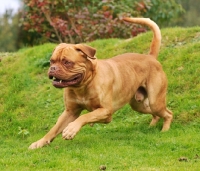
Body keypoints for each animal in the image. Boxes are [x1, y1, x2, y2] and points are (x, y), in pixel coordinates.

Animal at [28, 16, 173, 149]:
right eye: (52, 61)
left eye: (67, 62)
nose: (53, 68)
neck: (83, 85)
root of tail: (150, 57)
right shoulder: (70, 112)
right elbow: (54, 129)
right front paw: (40, 142)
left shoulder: (105, 111)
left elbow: (86, 116)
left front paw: (71, 129)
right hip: (139, 105)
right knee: (156, 114)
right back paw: (152, 126)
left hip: (155, 101)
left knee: (168, 113)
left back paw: (165, 130)